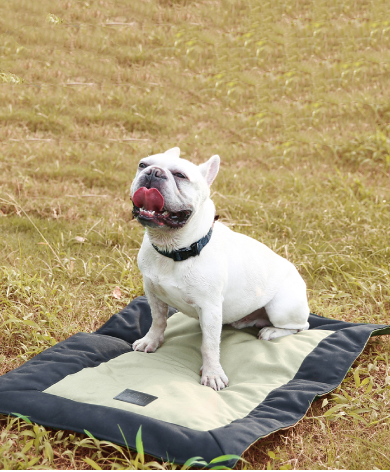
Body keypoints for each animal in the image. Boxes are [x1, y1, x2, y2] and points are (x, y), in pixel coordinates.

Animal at [131, 148, 310, 390]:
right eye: (142, 164)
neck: (173, 250)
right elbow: (158, 320)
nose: (153, 172)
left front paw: (212, 374)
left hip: (281, 307)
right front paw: (151, 341)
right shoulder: (153, 293)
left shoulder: (210, 309)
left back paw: (271, 331)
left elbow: (209, 345)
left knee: (301, 326)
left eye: (180, 175)